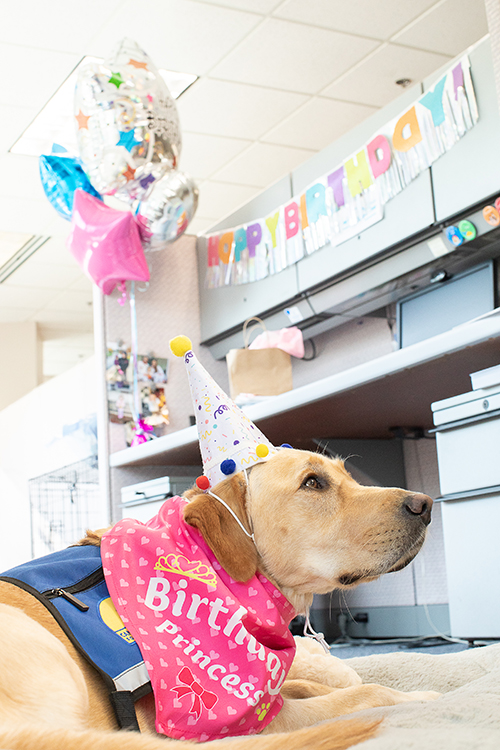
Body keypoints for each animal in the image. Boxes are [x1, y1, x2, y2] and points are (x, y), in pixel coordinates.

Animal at [0, 452, 438, 750]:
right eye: (313, 483)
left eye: (347, 475)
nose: (425, 504)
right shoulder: (267, 720)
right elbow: (369, 693)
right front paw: (418, 697)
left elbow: (305, 684)